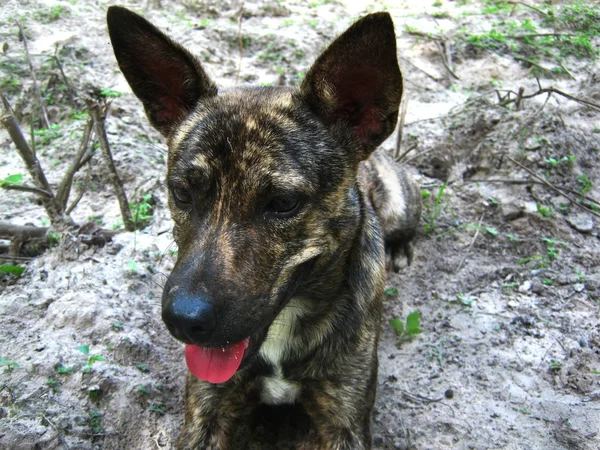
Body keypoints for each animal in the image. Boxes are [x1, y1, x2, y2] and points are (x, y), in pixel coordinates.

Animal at [105, 6, 420, 446]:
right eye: (182, 192)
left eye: (284, 203)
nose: (184, 320)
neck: (283, 328)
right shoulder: (206, 414)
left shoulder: (345, 420)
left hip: (399, 201)